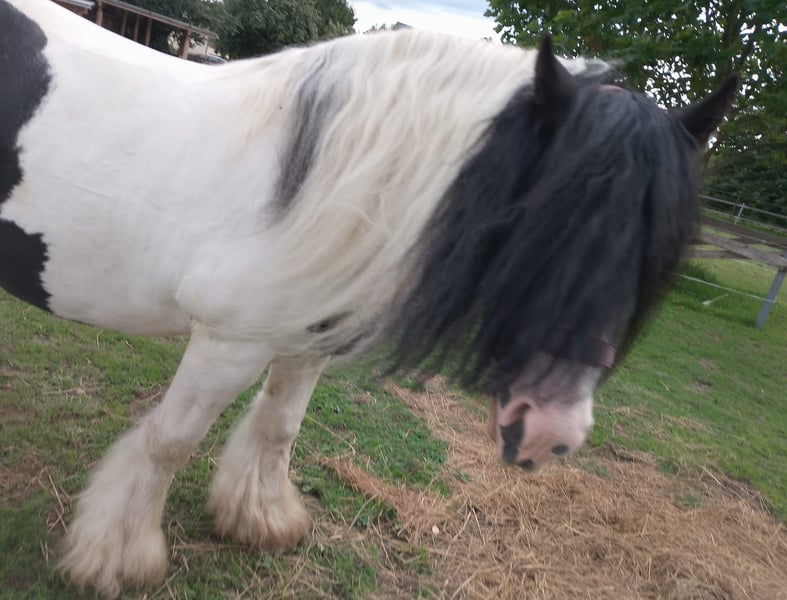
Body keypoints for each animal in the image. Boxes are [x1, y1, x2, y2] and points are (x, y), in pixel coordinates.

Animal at [0, 1, 736, 596]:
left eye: (655, 256)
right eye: (537, 217)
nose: (552, 434)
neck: (324, 182)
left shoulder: (305, 340)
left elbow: (279, 427)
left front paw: (260, 519)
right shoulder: (227, 344)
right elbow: (168, 443)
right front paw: (117, 559)